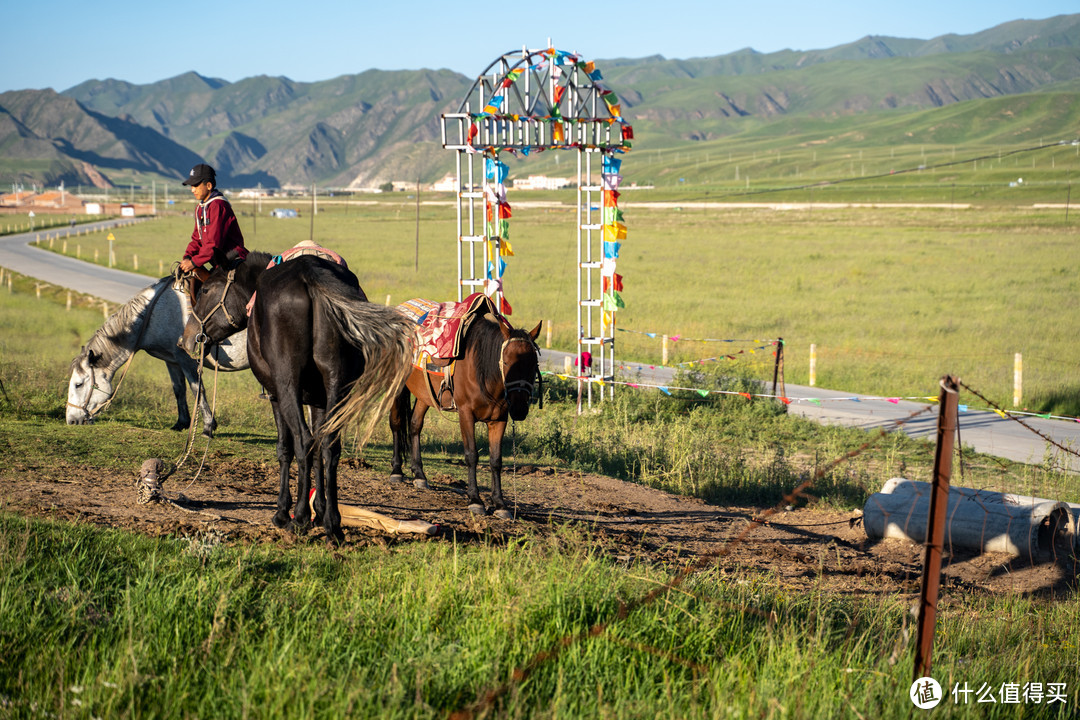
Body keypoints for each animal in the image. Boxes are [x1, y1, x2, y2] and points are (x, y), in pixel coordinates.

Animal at [65, 276, 248, 433]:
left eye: (78, 384)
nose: (71, 420)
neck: (153, 313)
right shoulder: (172, 360)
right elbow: (179, 389)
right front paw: (181, 423)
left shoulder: (186, 360)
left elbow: (197, 390)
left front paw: (209, 426)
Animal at [181, 252, 408, 539]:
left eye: (206, 290)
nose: (187, 338)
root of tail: (309, 276)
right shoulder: (320, 400)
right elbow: (320, 450)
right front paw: (320, 511)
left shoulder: (276, 396)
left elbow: (285, 448)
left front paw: (283, 511)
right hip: (338, 386)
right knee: (329, 446)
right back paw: (333, 524)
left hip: (288, 387)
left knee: (303, 440)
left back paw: (298, 517)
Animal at [388, 310, 540, 518]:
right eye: (507, 362)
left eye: (533, 364)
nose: (519, 408)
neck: (482, 370)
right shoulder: (466, 415)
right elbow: (471, 455)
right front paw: (475, 500)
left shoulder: (499, 420)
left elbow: (496, 460)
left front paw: (500, 504)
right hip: (398, 385)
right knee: (396, 423)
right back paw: (396, 471)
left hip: (424, 393)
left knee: (414, 425)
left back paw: (419, 474)